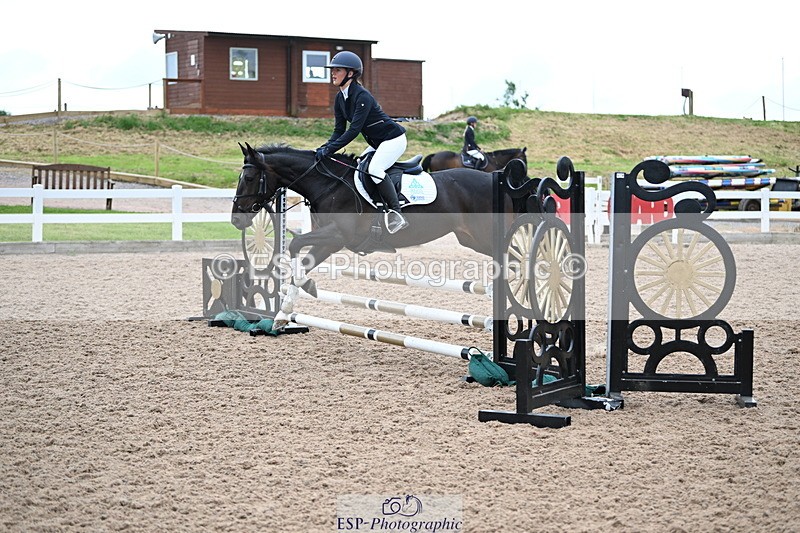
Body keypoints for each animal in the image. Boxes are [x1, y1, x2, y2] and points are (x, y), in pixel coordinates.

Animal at [231, 142, 526, 329]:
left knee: (515, 262)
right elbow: (301, 258)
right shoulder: (330, 242)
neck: (329, 184)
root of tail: (496, 180)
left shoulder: (338, 236)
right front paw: (285, 311)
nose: (236, 219)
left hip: (485, 238)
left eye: (248, 178)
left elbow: (295, 243)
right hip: (472, 239)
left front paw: (303, 291)